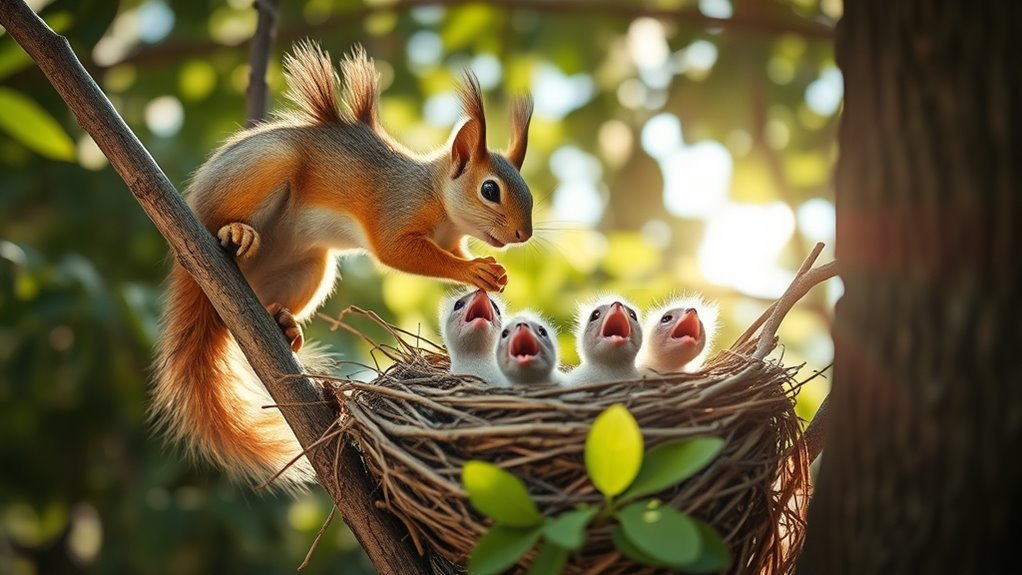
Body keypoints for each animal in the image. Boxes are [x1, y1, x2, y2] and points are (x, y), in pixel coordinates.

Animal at [151, 41, 534, 490]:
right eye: (490, 190)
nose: (523, 234)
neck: (438, 198)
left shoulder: (451, 239)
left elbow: (453, 252)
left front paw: (491, 271)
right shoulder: (397, 212)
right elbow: (399, 252)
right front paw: (475, 272)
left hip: (312, 268)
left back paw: (283, 322)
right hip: (264, 169)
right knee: (227, 219)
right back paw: (235, 235)